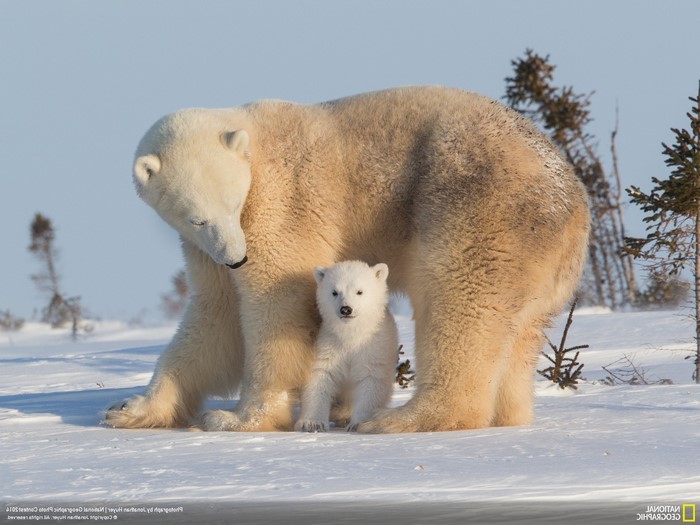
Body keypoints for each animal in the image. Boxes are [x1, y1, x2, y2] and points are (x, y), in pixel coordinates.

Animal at [295, 261, 399, 433]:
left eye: (359, 291)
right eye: (334, 292)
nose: (346, 309)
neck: (351, 336)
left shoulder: (374, 349)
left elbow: (371, 381)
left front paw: (359, 423)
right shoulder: (328, 345)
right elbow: (320, 376)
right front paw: (311, 423)